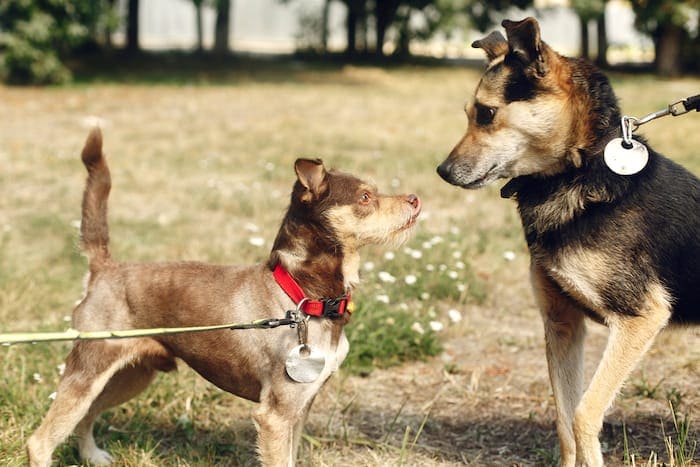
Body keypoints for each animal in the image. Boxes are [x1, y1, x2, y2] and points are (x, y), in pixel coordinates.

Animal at [27, 128, 422, 467]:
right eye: (365, 198)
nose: (415, 198)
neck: (305, 297)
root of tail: (103, 267)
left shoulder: (299, 409)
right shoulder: (276, 414)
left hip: (130, 375)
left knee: (86, 417)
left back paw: (92, 456)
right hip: (89, 370)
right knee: (41, 441)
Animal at [438, 16, 700, 467]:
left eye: (486, 114)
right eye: (469, 114)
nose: (443, 171)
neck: (578, 172)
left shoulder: (640, 317)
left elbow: (584, 413)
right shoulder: (562, 322)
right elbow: (563, 418)